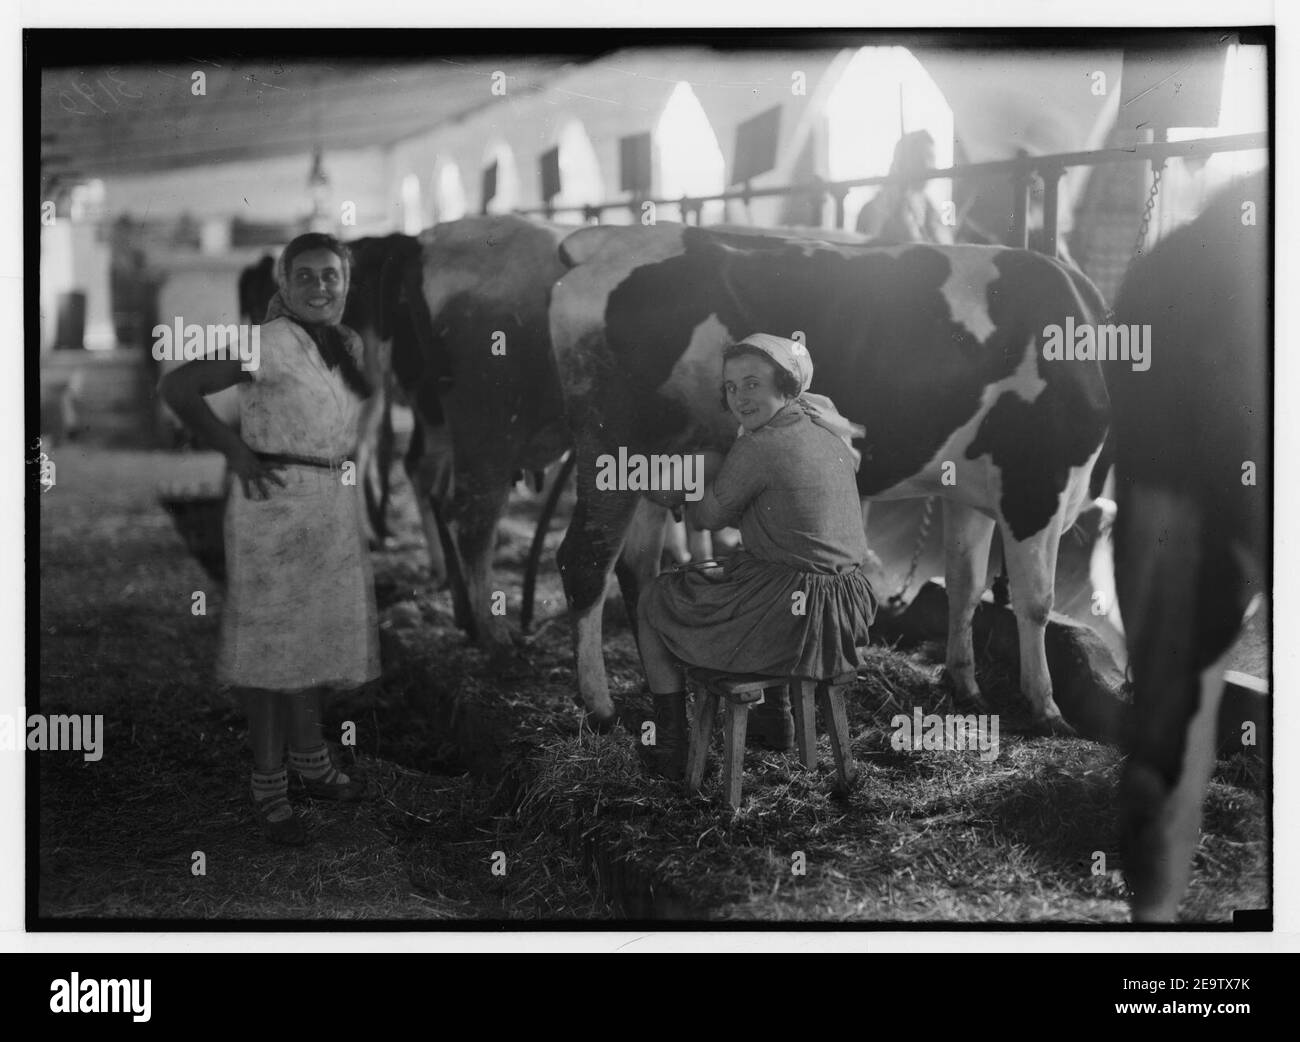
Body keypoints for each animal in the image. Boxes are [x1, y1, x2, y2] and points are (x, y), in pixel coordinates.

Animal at [546, 223, 1107, 727]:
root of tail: (606, 241)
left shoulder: (972, 492)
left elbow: (964, 587)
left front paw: (966, 685)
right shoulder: (1039, 487)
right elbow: (1036, 601)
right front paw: (1046, 707)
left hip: (653, 463)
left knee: (637, 565)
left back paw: (658, 682)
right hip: (611, 446)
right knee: (586, 561)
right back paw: (600, 706)